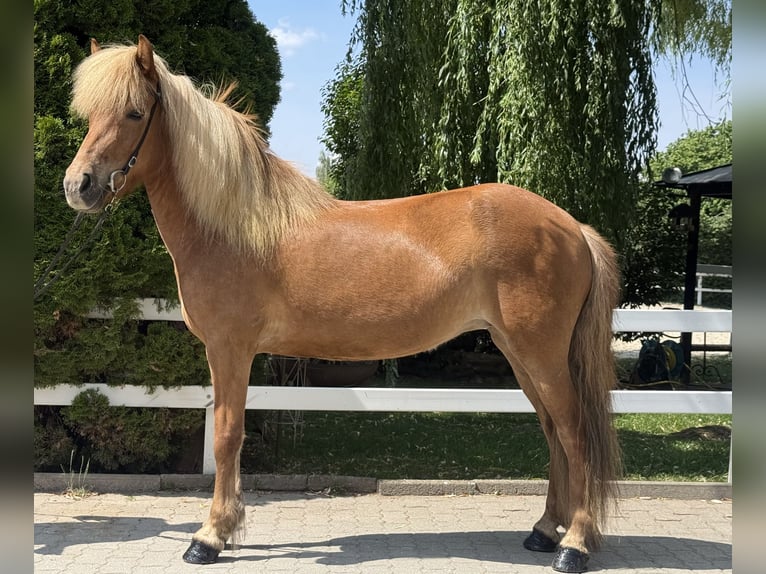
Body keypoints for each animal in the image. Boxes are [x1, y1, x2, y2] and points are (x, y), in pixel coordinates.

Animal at [63, 35, 622, 573]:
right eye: (90, 114)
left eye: (135, 113)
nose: (77, 186)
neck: (235, 229)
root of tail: (571, 227)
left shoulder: (230, 350)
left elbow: (226, 436)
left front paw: (210, 537)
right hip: (518, 352)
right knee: (553, 433)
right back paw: (544, 532)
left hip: (541, 354)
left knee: (574, 434)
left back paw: (574, 546)